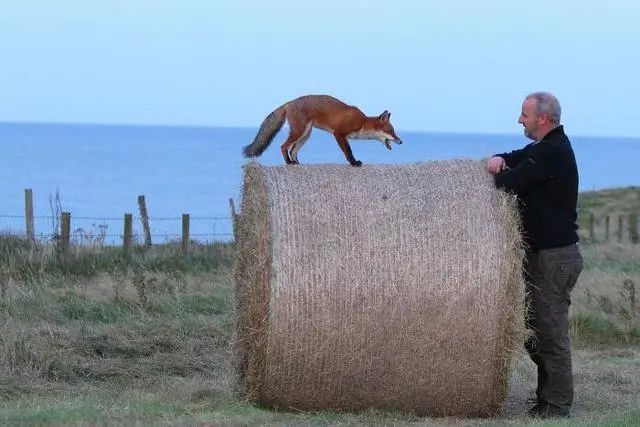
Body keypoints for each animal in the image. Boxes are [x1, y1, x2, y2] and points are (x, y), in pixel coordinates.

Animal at [242, 95, 402, 167]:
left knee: (293, 150)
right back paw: (289, 163)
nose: (401, 141)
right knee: (283, 147)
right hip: (299, 132)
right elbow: (348, 151)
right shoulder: (339, 133)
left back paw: (297, 163)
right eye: (391, 131)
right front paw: (353, 162)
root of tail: (289, 102)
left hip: (305, 135)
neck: (362, 122)